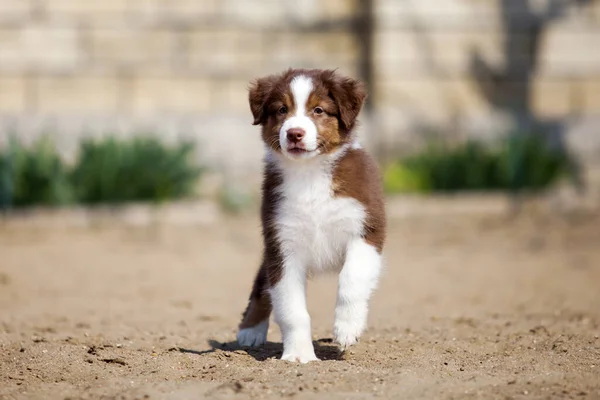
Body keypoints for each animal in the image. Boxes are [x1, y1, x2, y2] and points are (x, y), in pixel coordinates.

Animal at [237, 68, 386, 362]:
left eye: (318, 110)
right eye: (282, 110)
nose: (294, 133)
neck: (309, 174)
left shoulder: (366, 229)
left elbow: (352, 278)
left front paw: (347, 329)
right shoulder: (282, 243)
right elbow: (291, 308)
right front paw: (298, 356)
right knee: (261, 285)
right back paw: (250, 330)